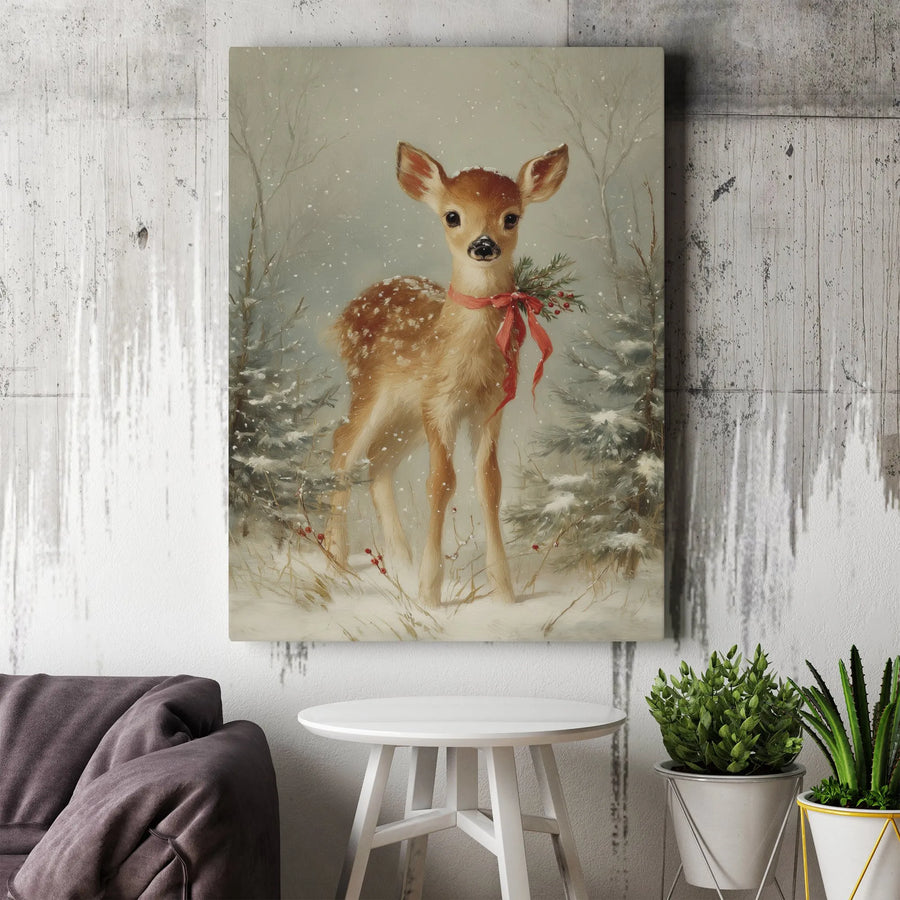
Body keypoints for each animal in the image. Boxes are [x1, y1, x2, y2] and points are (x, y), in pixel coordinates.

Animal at [325, 141, 569, 608]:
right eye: (452, 215)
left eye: (511, 216)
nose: (484, 245)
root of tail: (345, 315)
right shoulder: (441, 405)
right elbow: (441, 482)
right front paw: (430, 593)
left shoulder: (489, 406)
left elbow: (489, 483)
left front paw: (504, 592)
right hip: (370, 387)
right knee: (343, 445)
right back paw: (335, 559)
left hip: (406, 413)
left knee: (379, 460)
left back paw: (398, 561)